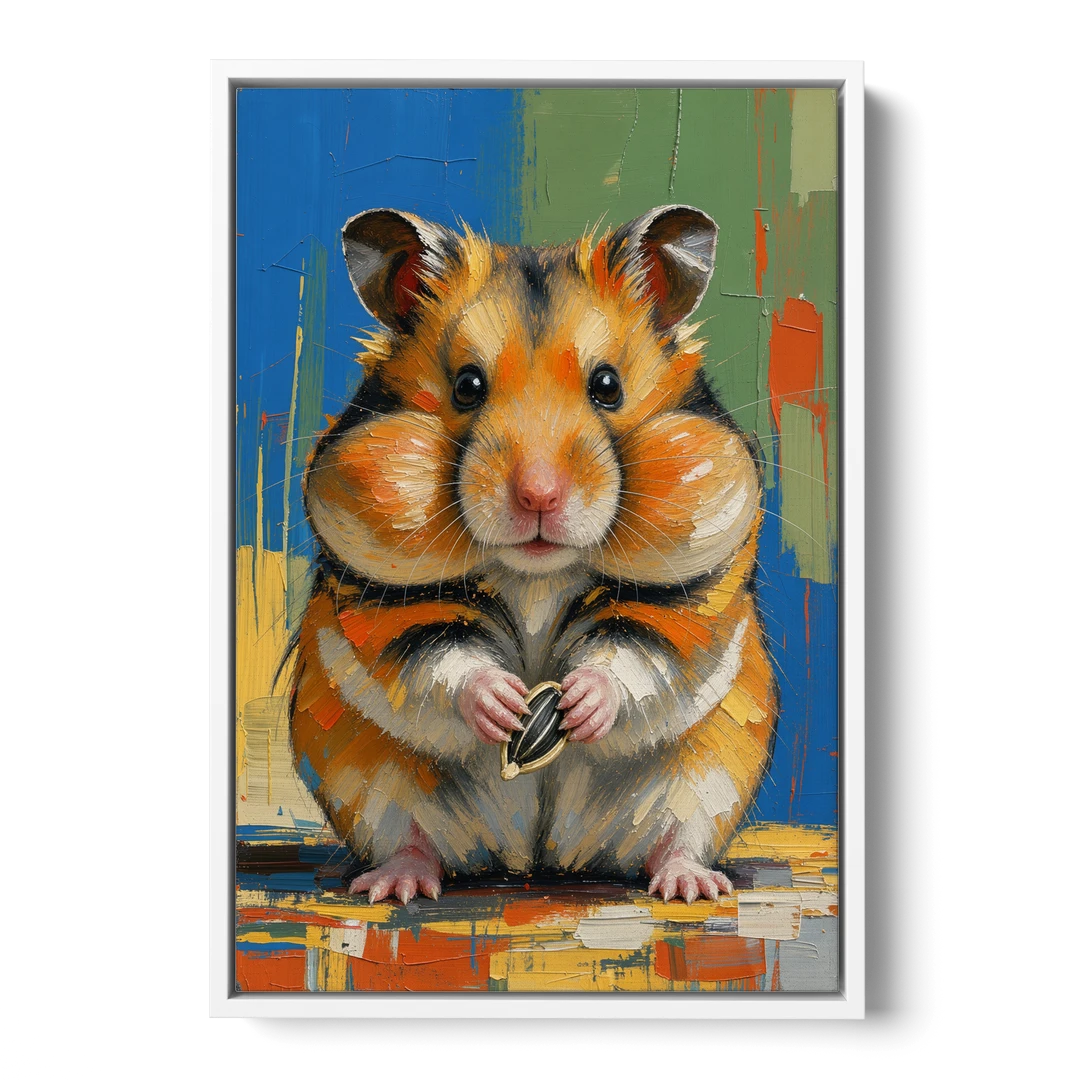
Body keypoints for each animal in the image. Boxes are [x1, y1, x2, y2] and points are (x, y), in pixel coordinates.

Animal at [288, 204, 777, 905]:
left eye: (607, 386)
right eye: (467, 386)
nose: (538, 496)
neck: (537, 574)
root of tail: (539, 858)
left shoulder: (684, 596)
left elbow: (631, 655)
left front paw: (574, 703)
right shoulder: (388, 601)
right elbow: (444, 660)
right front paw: (508, 707)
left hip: (710, 776)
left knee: (674, 839)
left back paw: (691, 885)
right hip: (370, 784)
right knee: (411, 840)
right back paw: (395, 886)